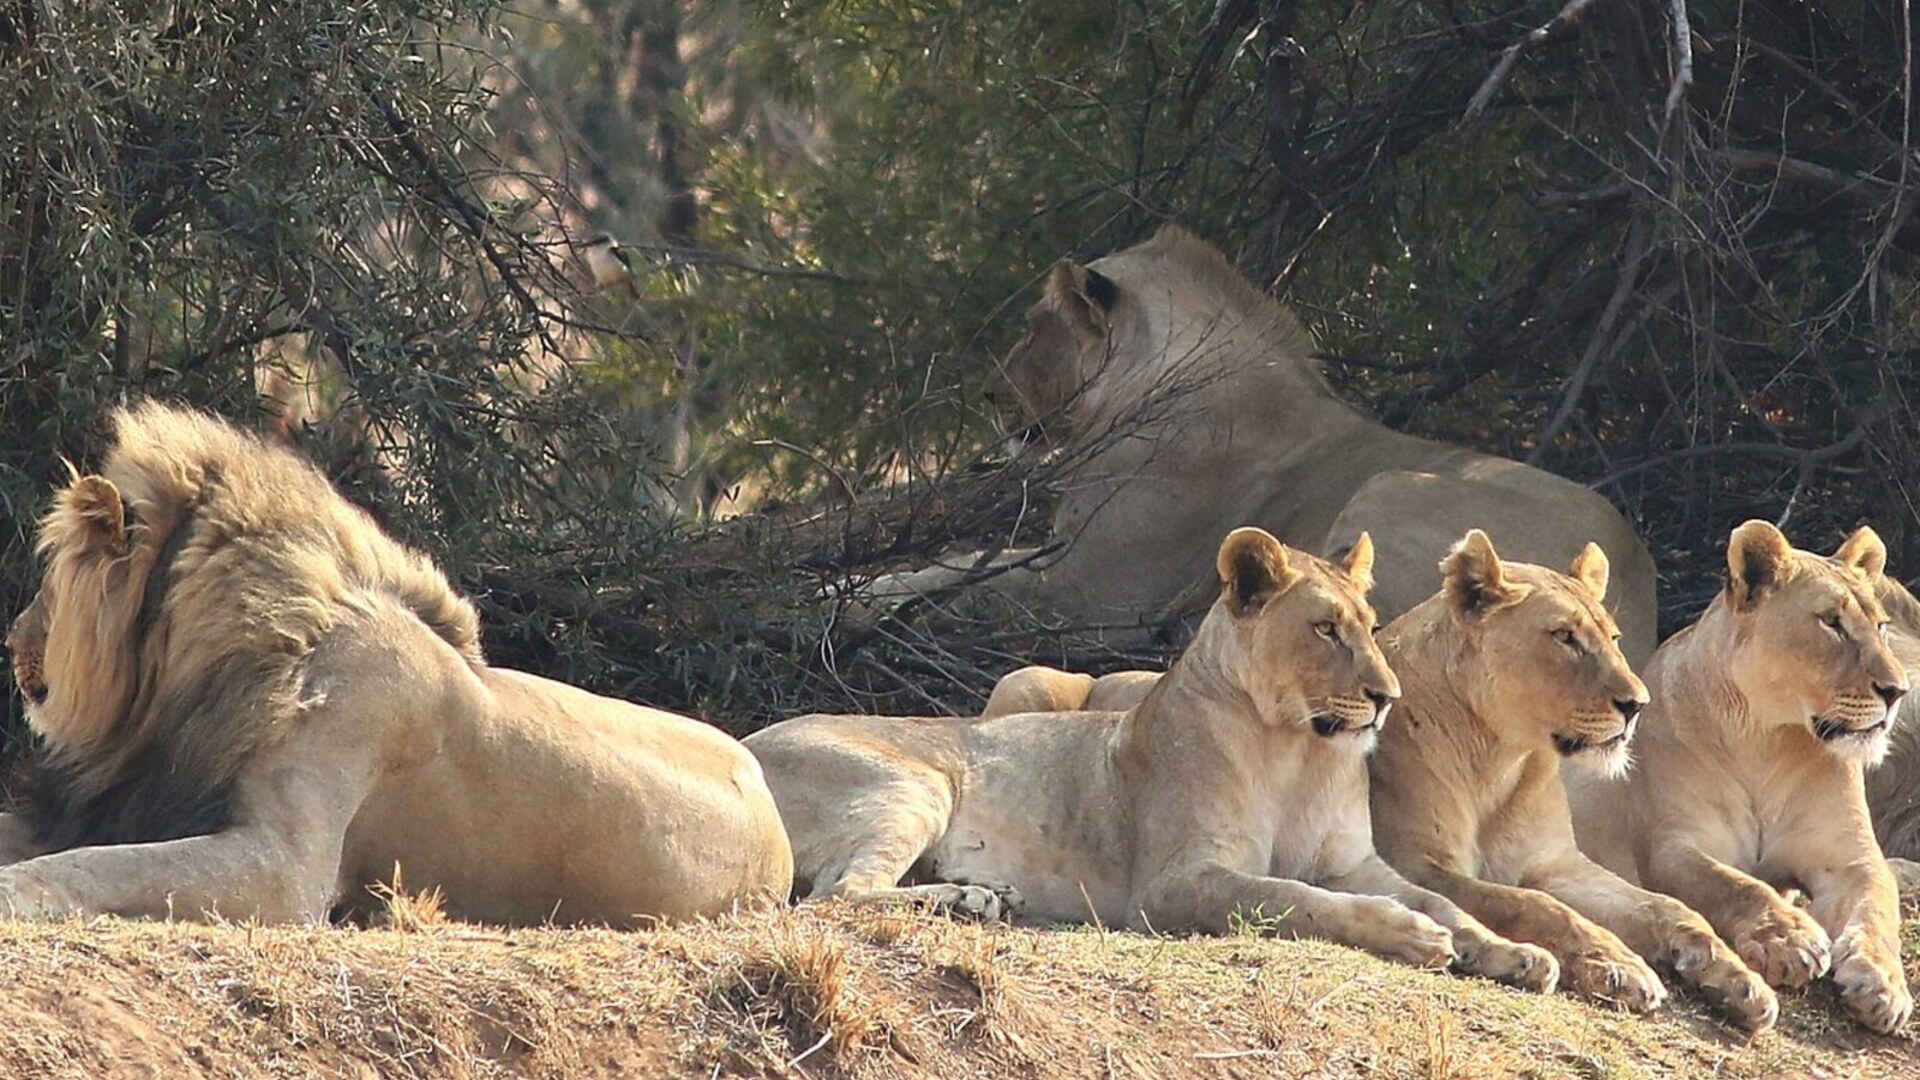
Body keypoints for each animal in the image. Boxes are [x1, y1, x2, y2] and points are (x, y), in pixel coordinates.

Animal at [746, 527, 1559, 991]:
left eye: (1369, 623)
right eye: (1325, 629)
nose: (1387, 696)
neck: (1301, 750)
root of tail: (746, 740)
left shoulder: (1357, 861)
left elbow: (1444, 899)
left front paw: (1514, 953)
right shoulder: (1174, 883)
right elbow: (1293, 898)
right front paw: (1415, 937)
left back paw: (982, 896)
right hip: (911, 782)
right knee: (836, 895)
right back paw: (969, 901)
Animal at [860, 226, 1657, 661]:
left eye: (1033, 327)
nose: (991, 396)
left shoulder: (1088, 590)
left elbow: (969, 589)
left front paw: (859, 601)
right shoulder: (1068, 556)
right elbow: (950, 567)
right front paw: (875, 586)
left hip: (1391, 487)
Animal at [1368, 530, 1778, 1031]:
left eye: (1614, 638)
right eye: (1565, 637)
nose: (1637, 704)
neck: (1499, 760)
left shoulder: (1557, 863)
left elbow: (1665, 905)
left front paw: (1738, 982)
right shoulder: (1415, 862)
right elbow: (1535, 905)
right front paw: (1619, 966)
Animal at [1567, 521, 1912, 1033]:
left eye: (1882, 626)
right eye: (1831, 622)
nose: (1897, 692)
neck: (1765, 741)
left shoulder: (1851, 858)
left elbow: (1876, 907)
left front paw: (1882, 983)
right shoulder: (1676, 846)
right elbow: (1737, 885)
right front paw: (1789, 939)